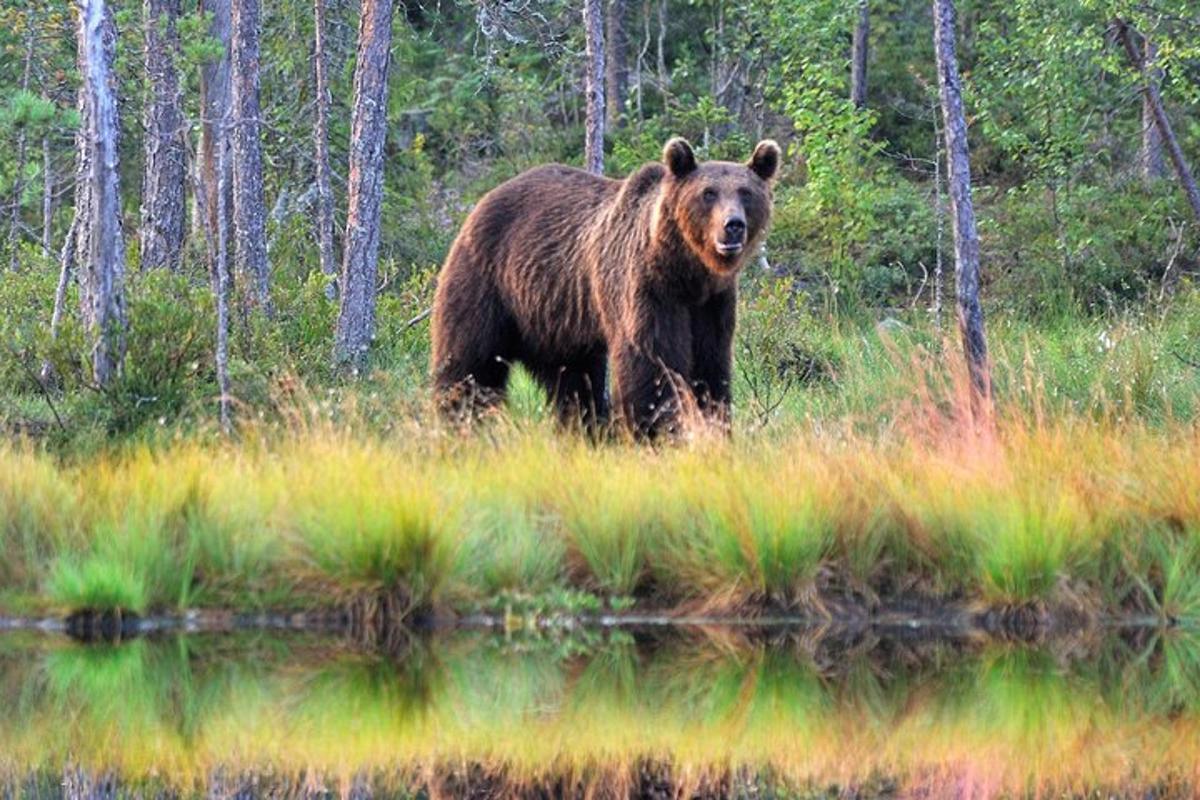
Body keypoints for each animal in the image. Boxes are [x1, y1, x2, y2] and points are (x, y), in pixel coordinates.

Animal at [429, 137, 777, 438]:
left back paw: (585, 430)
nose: (733, 226)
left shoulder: (712, 301)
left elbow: (711, 363)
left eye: (746, 192)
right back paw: (458, 422)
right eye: (708, 193)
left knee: (573, 380)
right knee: (471, 362)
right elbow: (650, 360)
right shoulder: (647, 286)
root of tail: (481, 203)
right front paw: (655, 432)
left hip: (553, 316)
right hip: (486, 281)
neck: (686, 271)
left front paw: (716, 427)